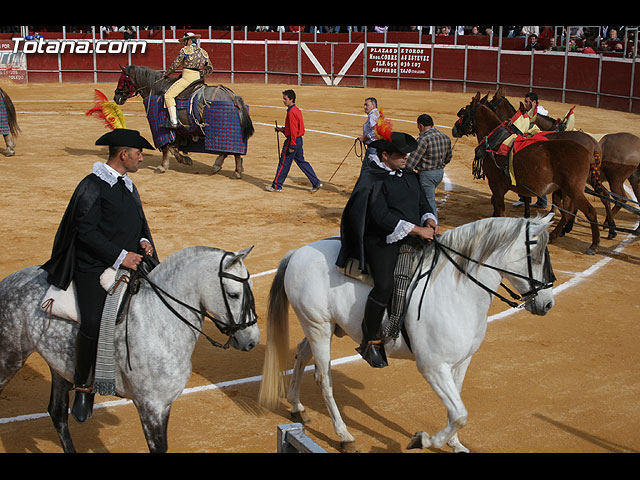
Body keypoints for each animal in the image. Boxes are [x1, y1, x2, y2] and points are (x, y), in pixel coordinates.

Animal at [0, 246, 260, 452]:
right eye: (233, 294)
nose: (252, 341)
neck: (160, 318)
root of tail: (8, 280)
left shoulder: (164, 405)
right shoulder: (151, 406)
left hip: (59, 368)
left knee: (57, 413)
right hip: (9, 359)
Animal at [114, 64, 254, 176]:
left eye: (123, 79)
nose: (116, 97)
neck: (155, 88)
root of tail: (233, 96)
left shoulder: (163, 130)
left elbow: (167, 147)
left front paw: (162, 167)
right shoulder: (181, 131)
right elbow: (173, 147)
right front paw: (185, 160)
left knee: (231, 150)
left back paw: (228, 169)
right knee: (233, 150)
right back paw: (231, 169)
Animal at [258, 214, 556, 454]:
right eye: (536, 253)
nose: (547, 303)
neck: (456, 289)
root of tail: (299, 252)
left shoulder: (461, 362)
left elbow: (456, 407)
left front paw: (455, 444)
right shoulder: (433, 367)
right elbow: (460, 413)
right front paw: (423, 439)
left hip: (322, 327)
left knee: (301, 354)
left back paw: (297, 407)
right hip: (318, 328)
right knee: (324, 379)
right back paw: (344, 436)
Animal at [452, 98, 604, 255]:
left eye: (465, 111)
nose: (454, 128)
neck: (496, 143)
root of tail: (590, 150)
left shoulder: (495, 183)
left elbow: (500, 207)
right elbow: (498, 203)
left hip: (574, 189)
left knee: (589, 211)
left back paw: (594, 244)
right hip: (566, 190)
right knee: (567, 213)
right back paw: (555, 234)